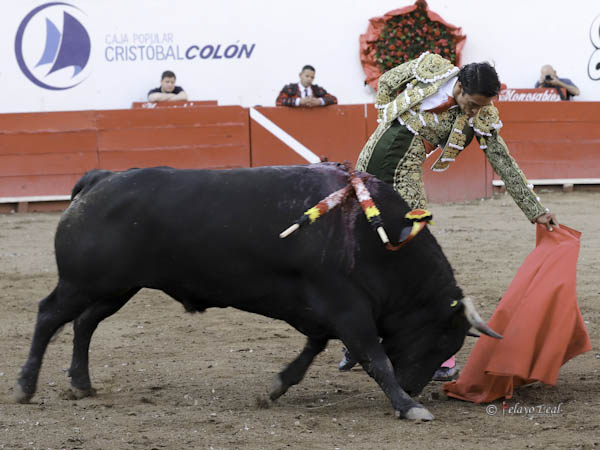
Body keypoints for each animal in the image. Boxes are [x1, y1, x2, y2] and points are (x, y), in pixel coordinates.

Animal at [15, 163, 502, 420]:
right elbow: (375, 356)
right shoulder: (348, 308)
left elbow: (311, 352)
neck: (376, 237)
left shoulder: (324, 312)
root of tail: (100, 178)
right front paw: (406, 406)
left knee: (83, 324)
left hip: (114, 289)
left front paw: (275, 387)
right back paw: (25, 386)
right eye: (441, 339)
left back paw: (81, 384)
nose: (414, 386)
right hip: (82, 283)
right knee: (48, 315)